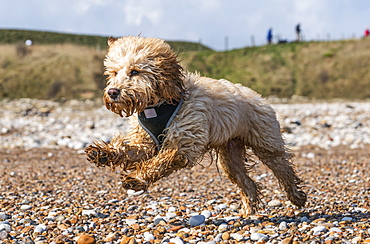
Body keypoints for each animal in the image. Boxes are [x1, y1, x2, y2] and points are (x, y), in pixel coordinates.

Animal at [84, 35, 306, 214]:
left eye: (135, 71)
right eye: (114, 72)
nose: (113, 92)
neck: (159, 104)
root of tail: (257, 95)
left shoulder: (184, 143)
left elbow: (159, 162)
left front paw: (137, 178)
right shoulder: (144, 140)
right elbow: (128, 148)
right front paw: (103, 152)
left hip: (266, 142)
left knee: (284, 170)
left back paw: (297, 197)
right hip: (230, 154)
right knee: (246, 182)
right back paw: (248, 210)